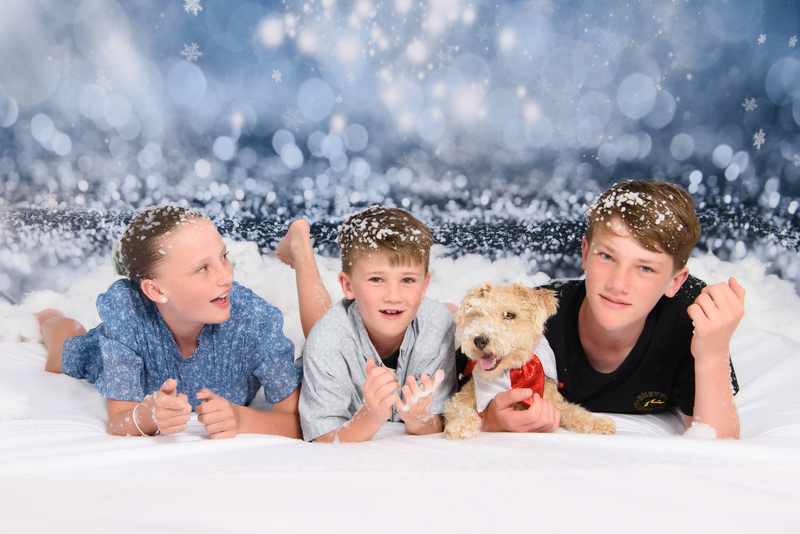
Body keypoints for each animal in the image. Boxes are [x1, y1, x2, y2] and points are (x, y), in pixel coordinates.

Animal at [443, 282, 616, 440]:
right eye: (478, 314)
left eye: (510, 315)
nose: (479, 340)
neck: (515, 373)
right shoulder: (458, 400)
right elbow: (464, 411)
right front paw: (460, 427)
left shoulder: (555, 402)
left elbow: (574, 411)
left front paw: (599, 423)